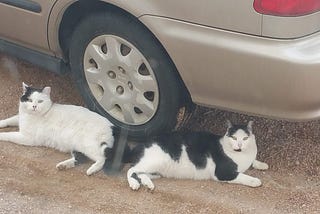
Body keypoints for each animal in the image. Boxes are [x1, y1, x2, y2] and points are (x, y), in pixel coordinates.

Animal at [127, 120, 268, 191]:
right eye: (234, 138)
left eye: (245, 138)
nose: (239, 145)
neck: (241, 155)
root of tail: (141, 144)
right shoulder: (223, 173)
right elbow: (242, 176)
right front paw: (255, 181)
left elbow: (253, 160)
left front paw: (262, 164)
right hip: (156, 160)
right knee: (131, 170)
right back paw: (134, 184)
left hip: (156, 171)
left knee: (140, 173)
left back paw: (148, 184)